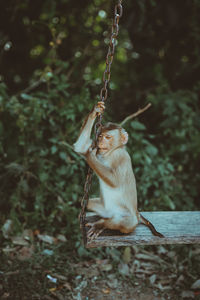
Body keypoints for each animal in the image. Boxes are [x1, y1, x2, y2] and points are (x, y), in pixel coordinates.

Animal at [73, 102, 164, 238]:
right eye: (100, 136)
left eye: (108, 137)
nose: (100, 142)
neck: (110, 153)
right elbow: (80, 146)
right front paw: (95, 111)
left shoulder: (121, 157)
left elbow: (114, 181)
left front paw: (89, 153)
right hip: (104, 209)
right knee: (86, 203)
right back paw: (100, 220)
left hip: (127, 216)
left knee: (127, 222)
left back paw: (101, 225)